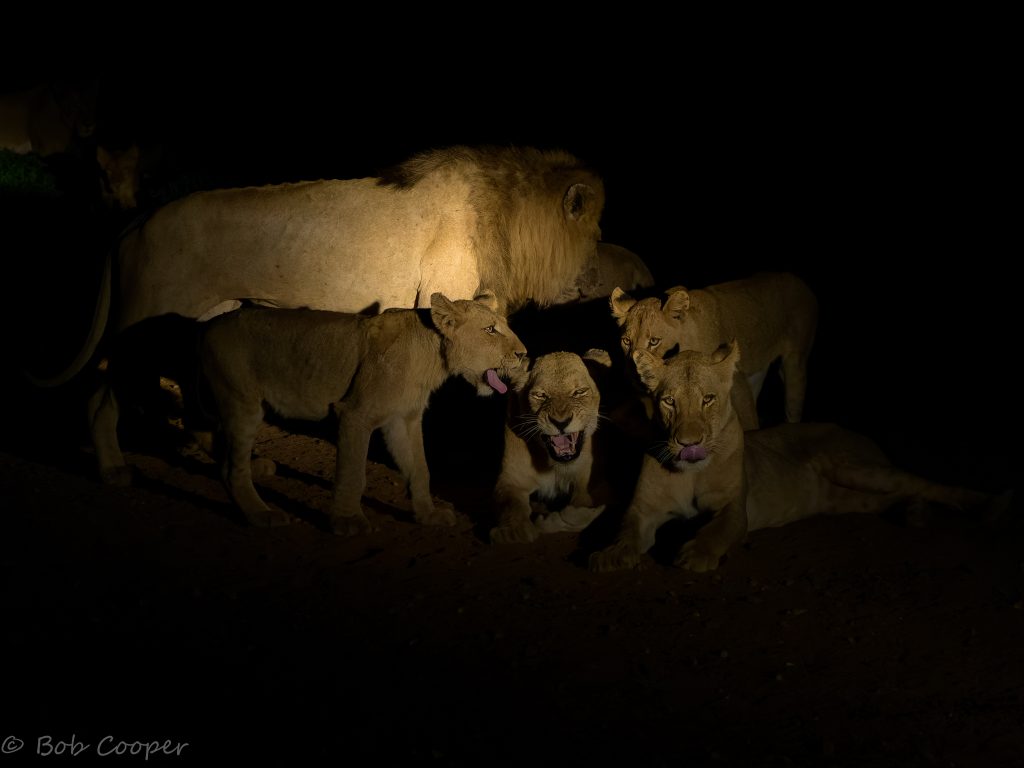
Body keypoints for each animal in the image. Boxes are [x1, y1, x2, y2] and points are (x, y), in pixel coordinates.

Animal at [33, 145, 604, 486]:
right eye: (597, 233)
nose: (603, 278)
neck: (507, 219)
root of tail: (134, 223)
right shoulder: (447, 308)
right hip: (144, 333)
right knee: (101, 398)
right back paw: (114, 470)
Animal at [198, 290, 526, 533]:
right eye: (490, 330)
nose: (523, 354)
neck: (432, 357)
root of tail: (208, 326)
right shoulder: (355, 414)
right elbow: (353, 473)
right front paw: (347, 520)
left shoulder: (403, 419)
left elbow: (420, 468)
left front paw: (428, 515)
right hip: (242, 401)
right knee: (231, 469)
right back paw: (261, 514)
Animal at [489, 349, 613, 544]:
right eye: (541, 395)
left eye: (579, 392)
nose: (560, 422)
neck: (555, 465)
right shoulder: (511, 480)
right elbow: (511, 506)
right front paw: (513, 531)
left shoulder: (593, 483)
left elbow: (581, 514)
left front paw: (546, 521)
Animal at [589, 343, 1009, 573]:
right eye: (669, 401)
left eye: (708, 399)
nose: (688, 442)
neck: (692, 471)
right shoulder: (643, 509)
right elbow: (626, 528)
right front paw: (611, 554)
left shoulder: (734, 508)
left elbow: (718, 529)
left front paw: (697, 553)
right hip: (847, 497)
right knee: (896, 496)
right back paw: (915, 513)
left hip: (854, 467)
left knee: (924, 483)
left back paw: (989, 505)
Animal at [610, 271, 818, 429]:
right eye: (626, 341)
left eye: (654, 341)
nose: (633, 375)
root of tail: (800, 281)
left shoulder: (738, 382)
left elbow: (748, 422)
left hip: (794, 362)